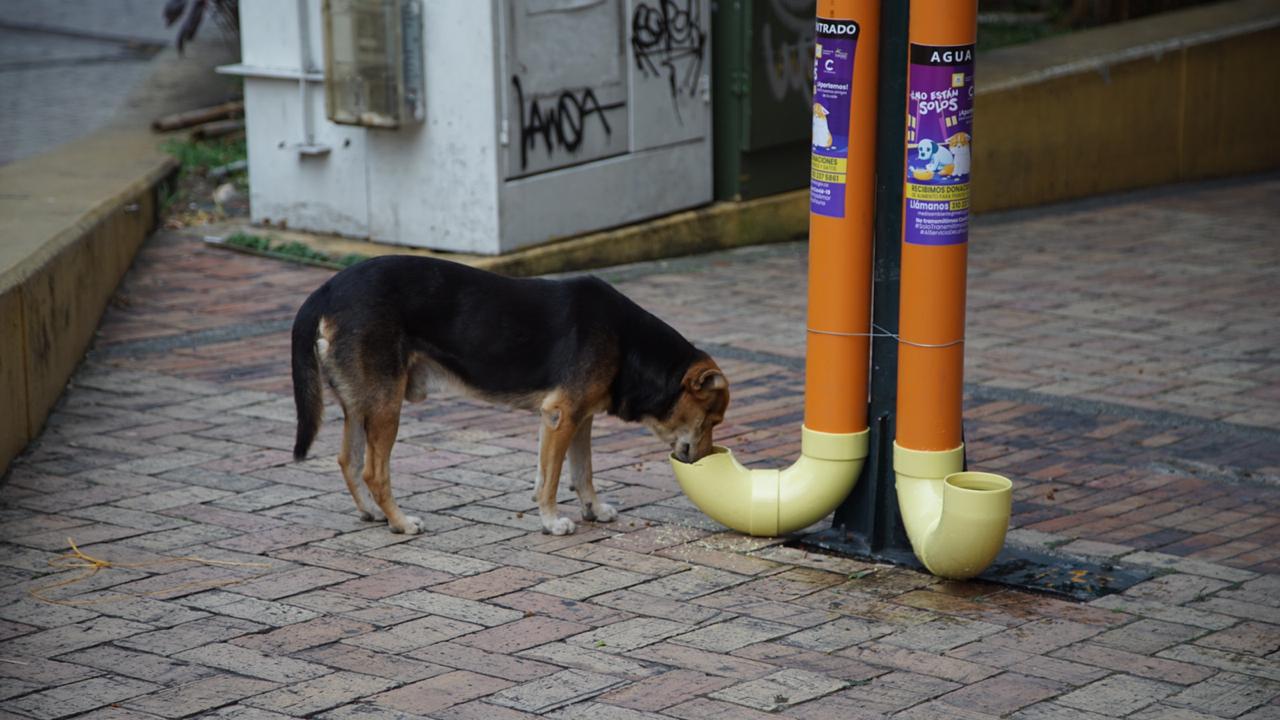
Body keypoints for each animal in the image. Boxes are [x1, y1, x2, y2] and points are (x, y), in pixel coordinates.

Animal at [293, 256, 732, 532]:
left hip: (360, 405)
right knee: (373, 472)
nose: (709, 459)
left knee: (348, 461)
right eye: (713, 419)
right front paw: (552, 521)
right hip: (386, 405)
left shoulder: (581, 419)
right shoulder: (561, 417)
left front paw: (592, 509)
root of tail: (327, 289)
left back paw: (373, 514)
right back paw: (400, 523)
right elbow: (551, 479)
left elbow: (582, 473)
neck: (628, 343)